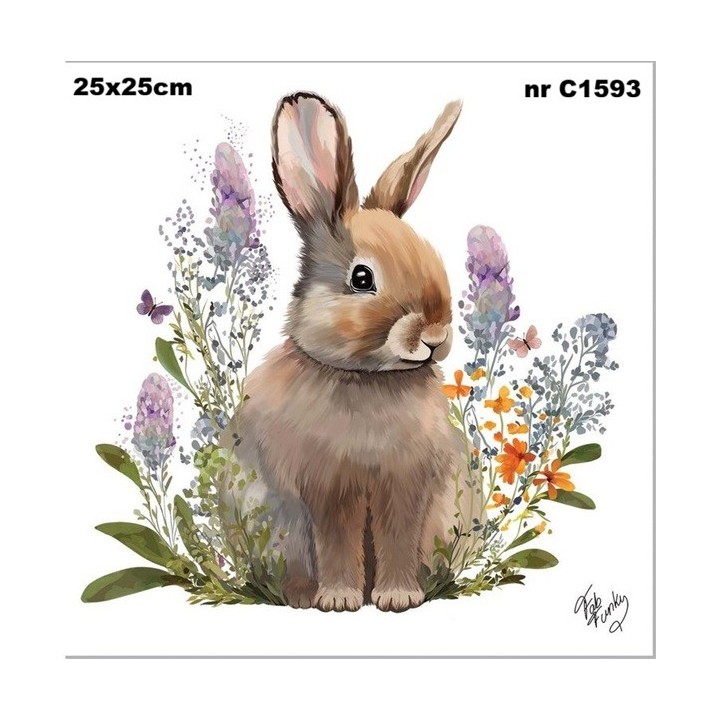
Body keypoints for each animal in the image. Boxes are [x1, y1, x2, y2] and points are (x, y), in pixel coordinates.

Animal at [219, 91, 467, 612]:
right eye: (362, 278)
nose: (435, 337)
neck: (367, 377)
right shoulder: (327, 487)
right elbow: (336, 541)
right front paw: (339, 599)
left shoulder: (407, 483)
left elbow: (398, 537)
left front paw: (398, 597)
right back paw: (299, 595)